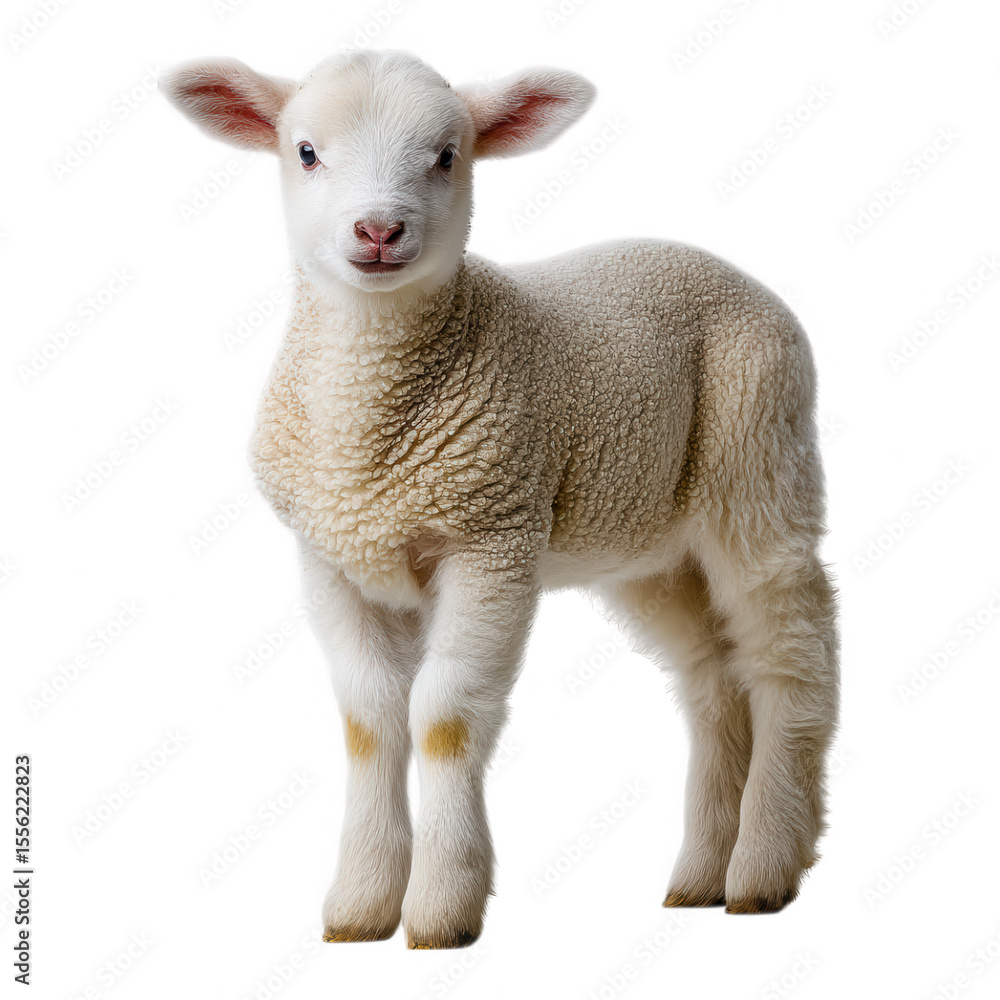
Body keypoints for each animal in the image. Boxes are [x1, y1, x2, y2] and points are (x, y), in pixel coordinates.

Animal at [162, 48, 839, 949]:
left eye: (449, 155)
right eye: (304, 152)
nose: (378, 232)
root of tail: (724, 269)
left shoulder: (491, 539)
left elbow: (442, 717)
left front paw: (442, 909)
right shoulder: (333, 559)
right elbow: (369, 722)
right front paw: (360, 905)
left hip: (759, 457)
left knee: (788, 657)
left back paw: (765, 866)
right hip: (651, 547)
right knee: (712, 681)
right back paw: (701, 875)